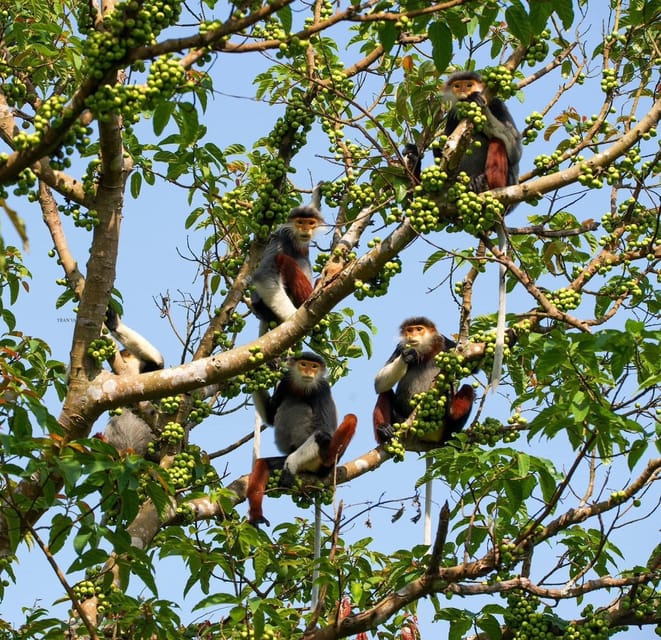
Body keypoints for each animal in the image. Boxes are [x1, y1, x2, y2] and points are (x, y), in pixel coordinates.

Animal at [247, 352, 357, 526]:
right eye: (303, 364)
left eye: (314, 366)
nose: (309, 372)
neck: (303, 388)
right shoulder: (287, 382)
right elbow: (271, 416)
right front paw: (257, 369)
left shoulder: (322, 388)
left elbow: (324, 429)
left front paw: (291, 464)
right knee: (262, 464)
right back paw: (257, 516)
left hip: (322, 460)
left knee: (325, 435)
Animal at [372, 316, 475, 447]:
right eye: (410, 330)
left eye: (419, 329)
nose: (413, 335)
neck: (426, 353)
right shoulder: (398, 348)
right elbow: (379, 382)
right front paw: (408, 355)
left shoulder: (447, 343)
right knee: (385, 392)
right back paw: (384, 432)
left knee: (468, 388)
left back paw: (450, 410)